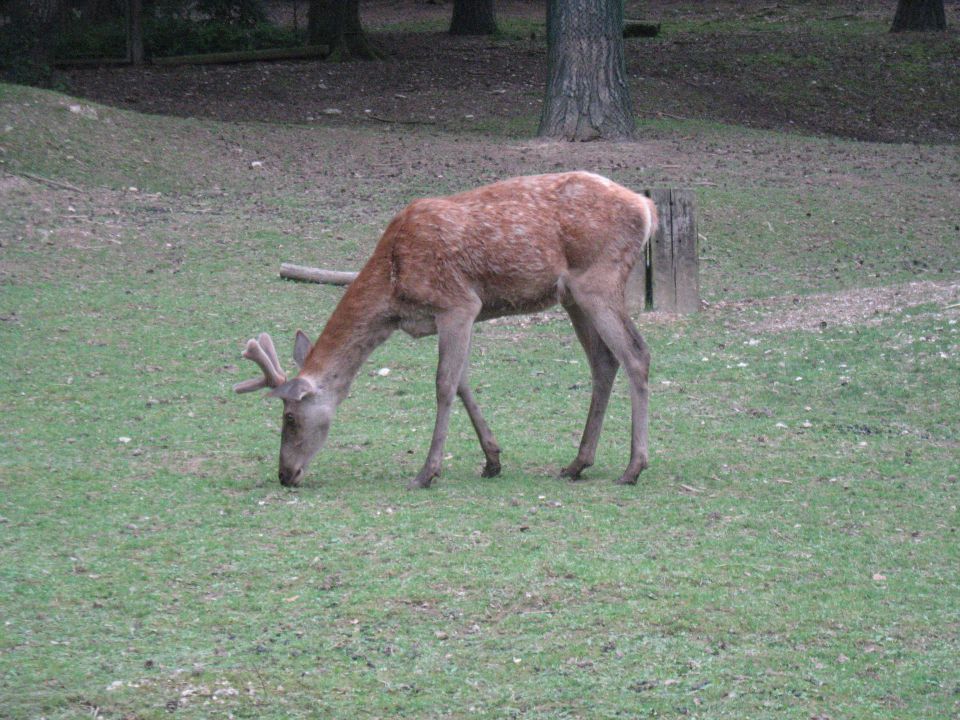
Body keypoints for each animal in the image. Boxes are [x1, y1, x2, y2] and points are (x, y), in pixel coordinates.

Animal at [235, 171, 656, 490]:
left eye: (289, 417)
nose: (284, 474)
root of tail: (647, 207)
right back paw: (577, 463)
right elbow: (462, 382)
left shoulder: (458, 303)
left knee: (637, 353)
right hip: (571, 296)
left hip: (598, 279)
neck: (392, 287)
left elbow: (443, 384)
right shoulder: (444, 317)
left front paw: (426, 472)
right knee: (604, 362)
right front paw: (492, 460)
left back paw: (633, 467)